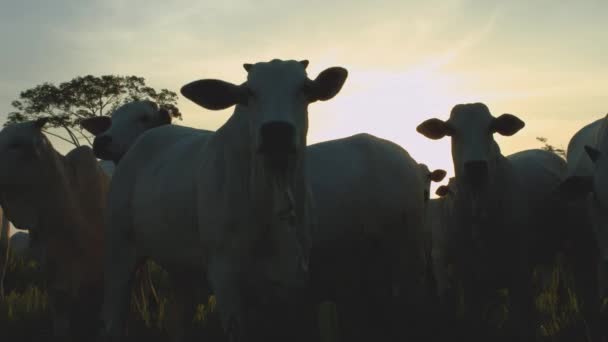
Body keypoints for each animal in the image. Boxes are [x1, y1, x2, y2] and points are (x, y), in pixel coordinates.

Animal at [100, 60, 346, 340]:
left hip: (181, 270)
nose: (277, 132)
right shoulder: (224, 274)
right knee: (112, 318)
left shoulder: (294, 279)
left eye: (305, 88)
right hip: (119, 249)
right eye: (249, 92)